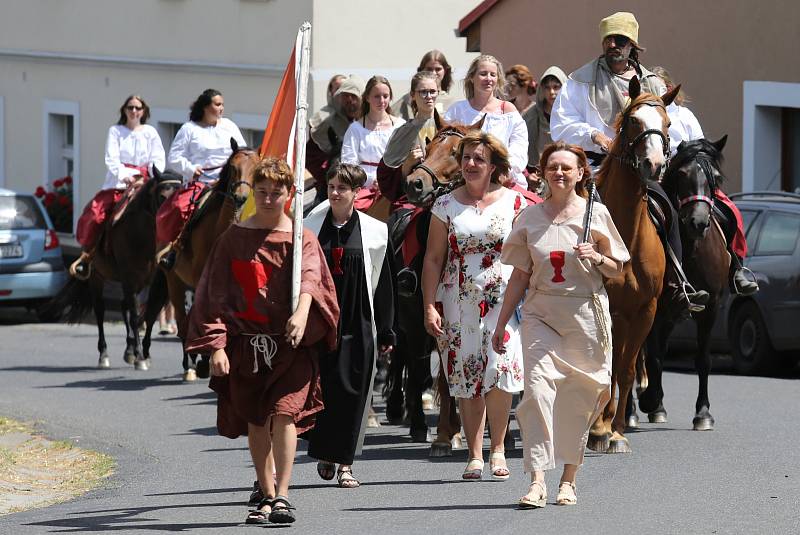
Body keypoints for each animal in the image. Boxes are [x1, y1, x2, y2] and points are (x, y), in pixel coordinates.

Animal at [45, 170, 181, 370]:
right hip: (97, 277)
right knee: (100, 311)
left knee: (124, 306)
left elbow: (150, 313)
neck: (140, 235)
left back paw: (129, 350)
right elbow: (135, 316)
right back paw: (104, 355)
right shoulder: (129, 278)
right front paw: (141, 357)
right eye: (162, 196)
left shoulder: (151, 279)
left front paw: (143, 353)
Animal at [165, 142, 260, 382]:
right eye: (234, 167)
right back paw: (189, 365)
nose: (241, 197)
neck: (219, 233)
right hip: (175, 282)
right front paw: (205, 360)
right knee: (183, 321)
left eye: (256, 169)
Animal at [636, 135, 732, 432]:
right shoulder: (653, 307)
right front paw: (649, 400)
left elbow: (703, 359)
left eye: (715, 177)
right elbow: (652, 357)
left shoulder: (711, 306)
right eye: (681, 174)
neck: (690, 250)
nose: (698, 222)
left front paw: (703, 413)